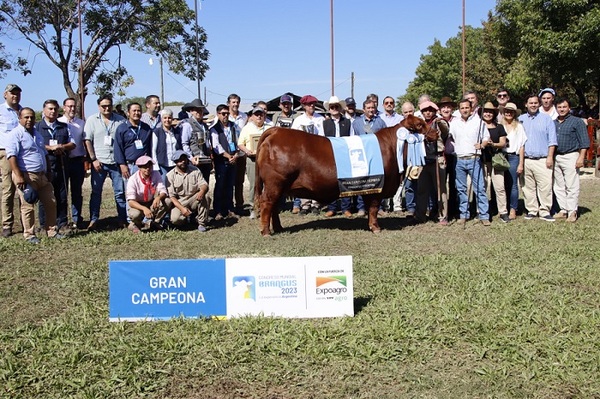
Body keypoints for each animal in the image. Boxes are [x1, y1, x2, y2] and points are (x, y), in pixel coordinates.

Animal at [255, 114, 428, 236]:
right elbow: (373, 208)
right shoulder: (378, 187)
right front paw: (376, 228)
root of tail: (276, 130)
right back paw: (266, 232)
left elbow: (370, 208)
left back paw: (278, 228)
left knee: (274, 206)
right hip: (275, 182)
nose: (433, 132)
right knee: (267, 203)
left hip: (279, 186)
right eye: (420, 125)